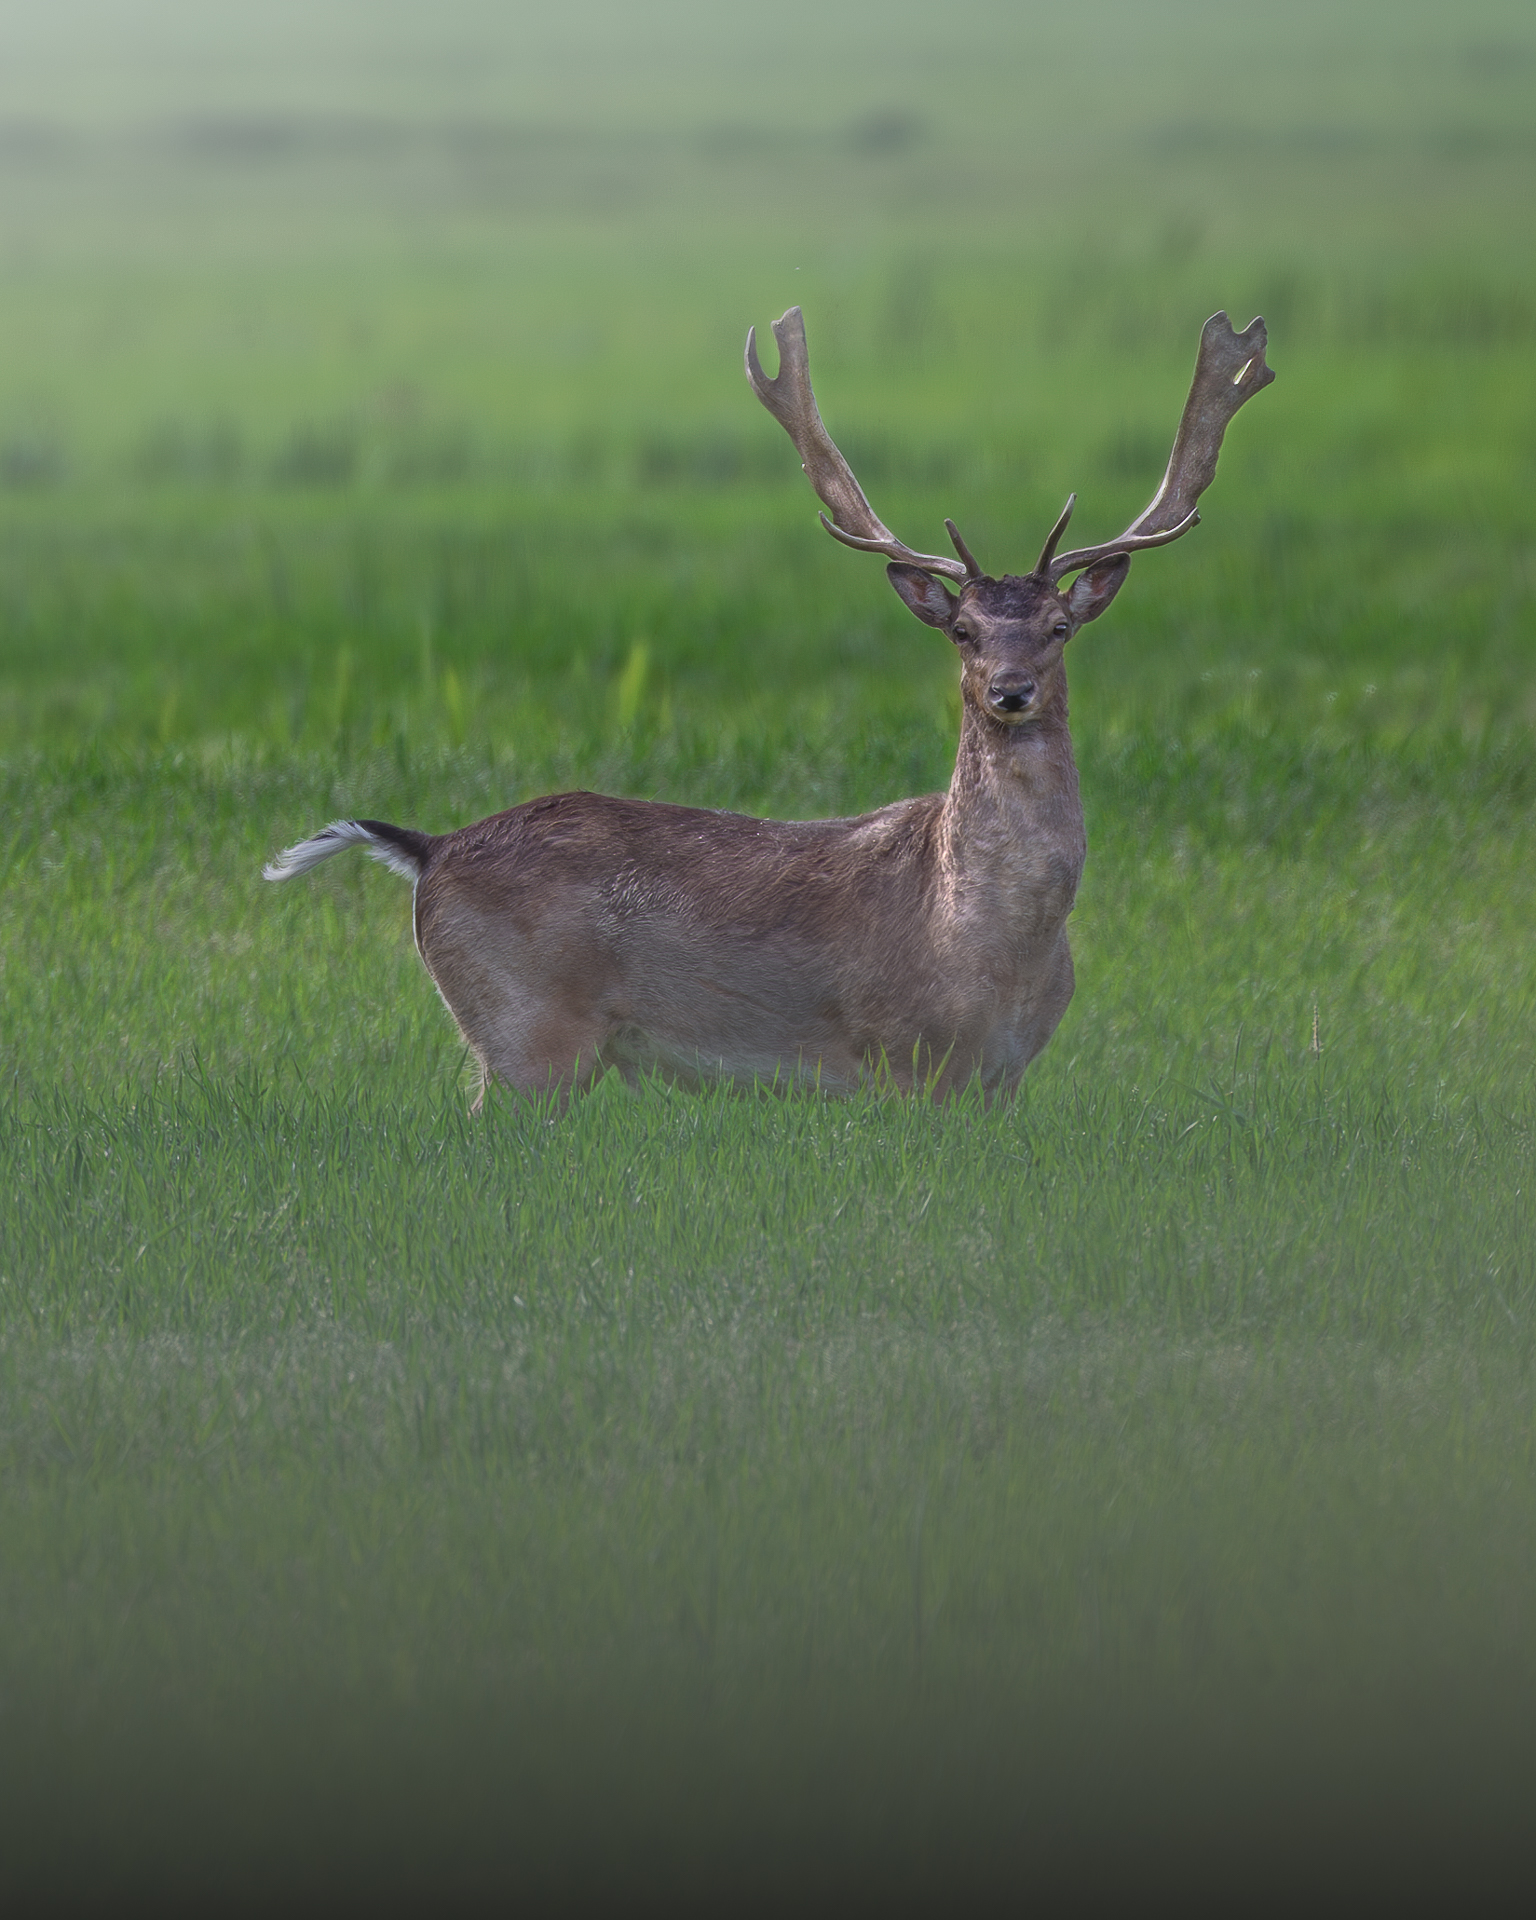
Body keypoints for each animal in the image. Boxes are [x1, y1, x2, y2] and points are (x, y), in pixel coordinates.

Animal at [264, 307, 1272, 1105]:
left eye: (1061, 627)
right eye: (963, 631)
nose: (1010, 691)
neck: (991, 947)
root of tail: (428, 849)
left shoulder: (1003, 1080)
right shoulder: (900, 1056)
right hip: (525, 1038)